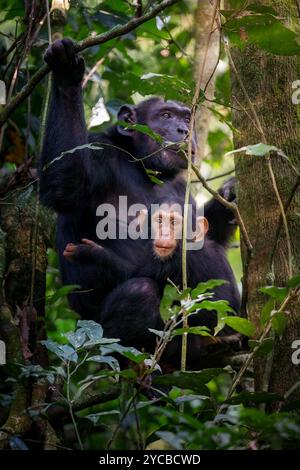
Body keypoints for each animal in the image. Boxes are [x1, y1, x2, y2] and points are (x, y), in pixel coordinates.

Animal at [40, 39, 237, 352]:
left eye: (186, 117)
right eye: (166, 115)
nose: (184, 130)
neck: (143, 165)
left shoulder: (180, 186)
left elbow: (203, 229)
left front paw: (230, 193)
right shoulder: (98, 151)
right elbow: (65, 185)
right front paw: (66, 73)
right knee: (139, 290)